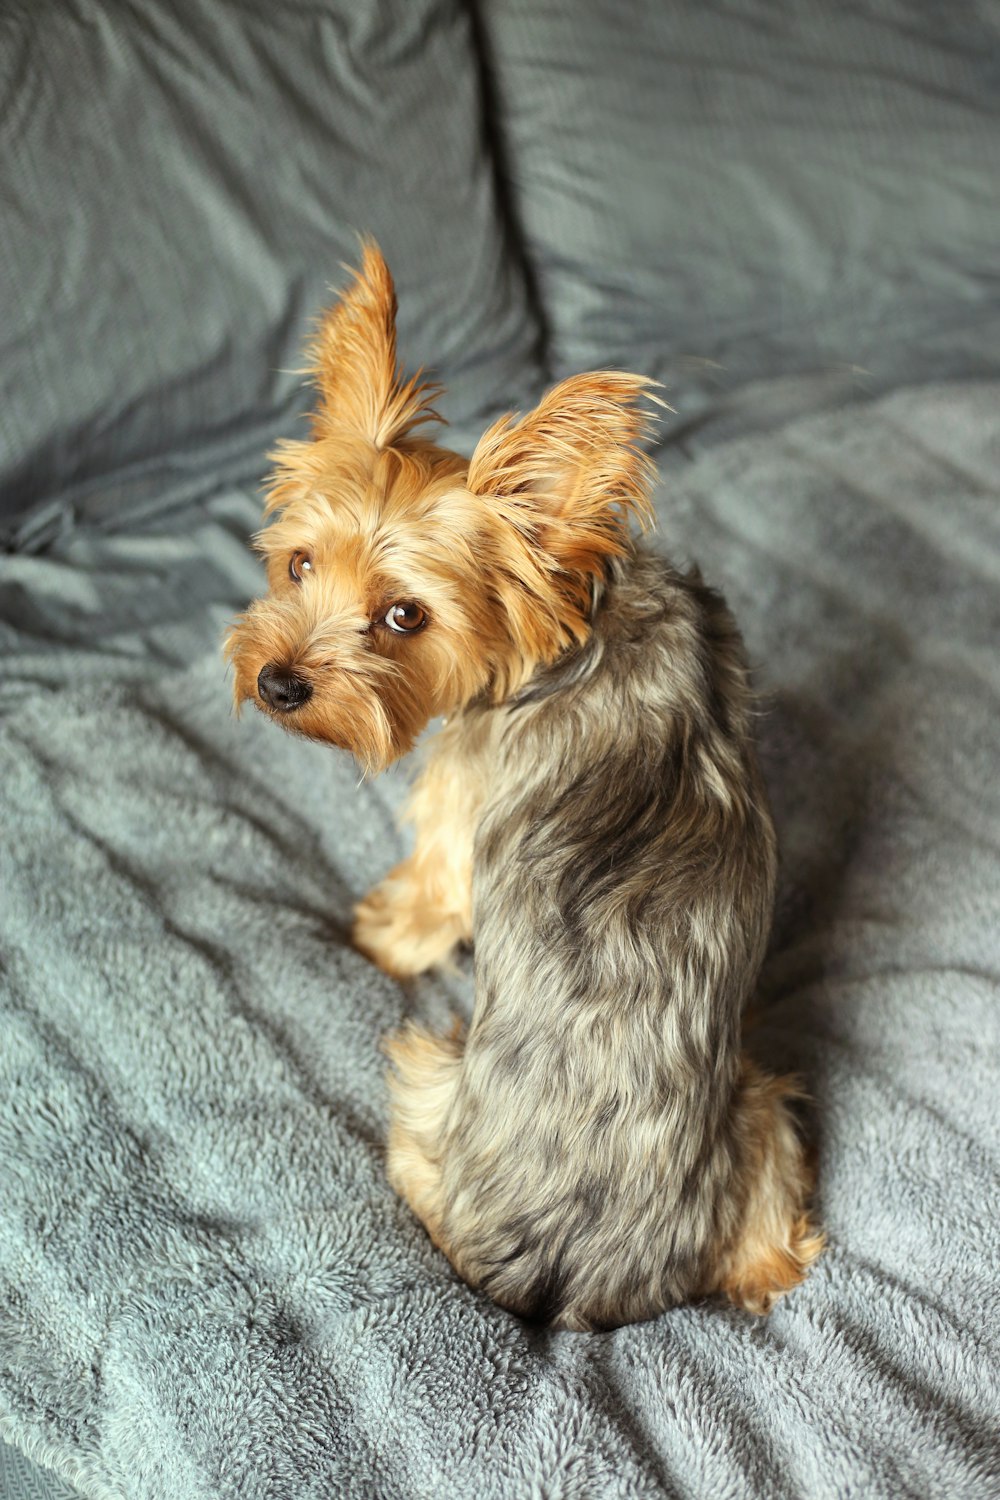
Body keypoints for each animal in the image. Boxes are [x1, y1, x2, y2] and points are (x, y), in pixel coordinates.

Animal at [226, 249, 821, 1338]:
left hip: (429, 1077)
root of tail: (565, 1288)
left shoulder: (459, 817)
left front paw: (382, 931)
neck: (577, 629)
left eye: (405, 616)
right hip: (761, 1109)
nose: (279, 684)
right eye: (297, 563)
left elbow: (431, 896)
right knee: (777, 1254)